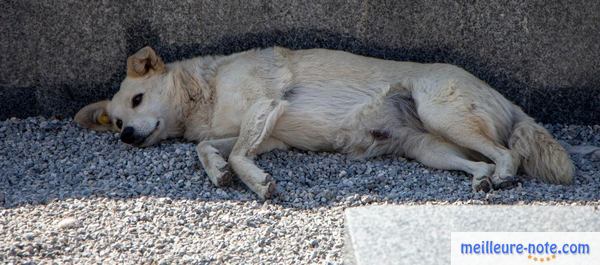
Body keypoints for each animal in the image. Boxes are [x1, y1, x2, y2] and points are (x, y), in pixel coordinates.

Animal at [75, 46, 572, 198]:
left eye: (139, 98)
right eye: (116, 121)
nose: (127, 136)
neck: (207, 90)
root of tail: (505, 98)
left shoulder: (265, 106)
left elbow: (236, 155)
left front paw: (255, 183)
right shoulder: (264, 135)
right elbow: (210, 148)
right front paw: (219, 171)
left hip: (443, 114)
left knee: (506, 153)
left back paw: (504, 177)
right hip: (428, 149)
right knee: (480, 162)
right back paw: (483, 181)